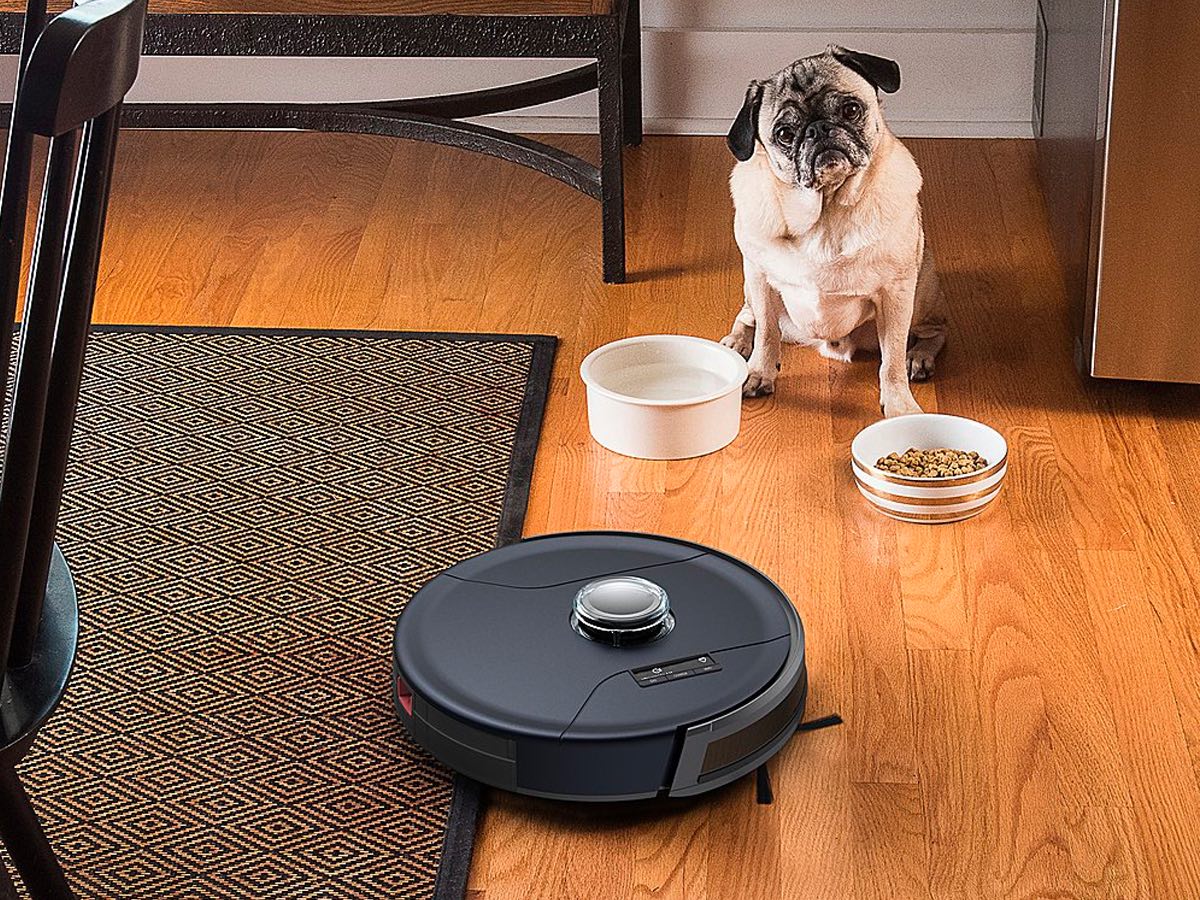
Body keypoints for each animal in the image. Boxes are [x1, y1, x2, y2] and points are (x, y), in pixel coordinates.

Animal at [720, 45, 945, 420]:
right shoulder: (760, 278)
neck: (825, 212)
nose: (819, 130)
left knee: (935, 332)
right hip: (750, 285)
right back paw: (737, 342)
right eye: (785, 134)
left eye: (850, 109)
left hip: (922, 292)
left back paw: (920, 357)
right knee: (748, 317)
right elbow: (766, 333)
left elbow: (892, 360)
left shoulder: (897, 292)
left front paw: (900, 404)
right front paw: (758, 373)